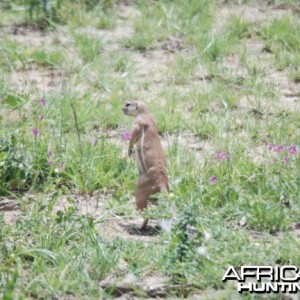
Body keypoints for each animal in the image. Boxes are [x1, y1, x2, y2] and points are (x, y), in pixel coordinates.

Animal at [122, 101, 169, 230]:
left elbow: (133, 137)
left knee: (146, 213)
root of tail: (162, 183)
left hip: (139, 190)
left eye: (128, 104)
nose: (121, 108)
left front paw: (129, 151)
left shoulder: (138, 123)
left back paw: (139, 226)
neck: (145, 112)